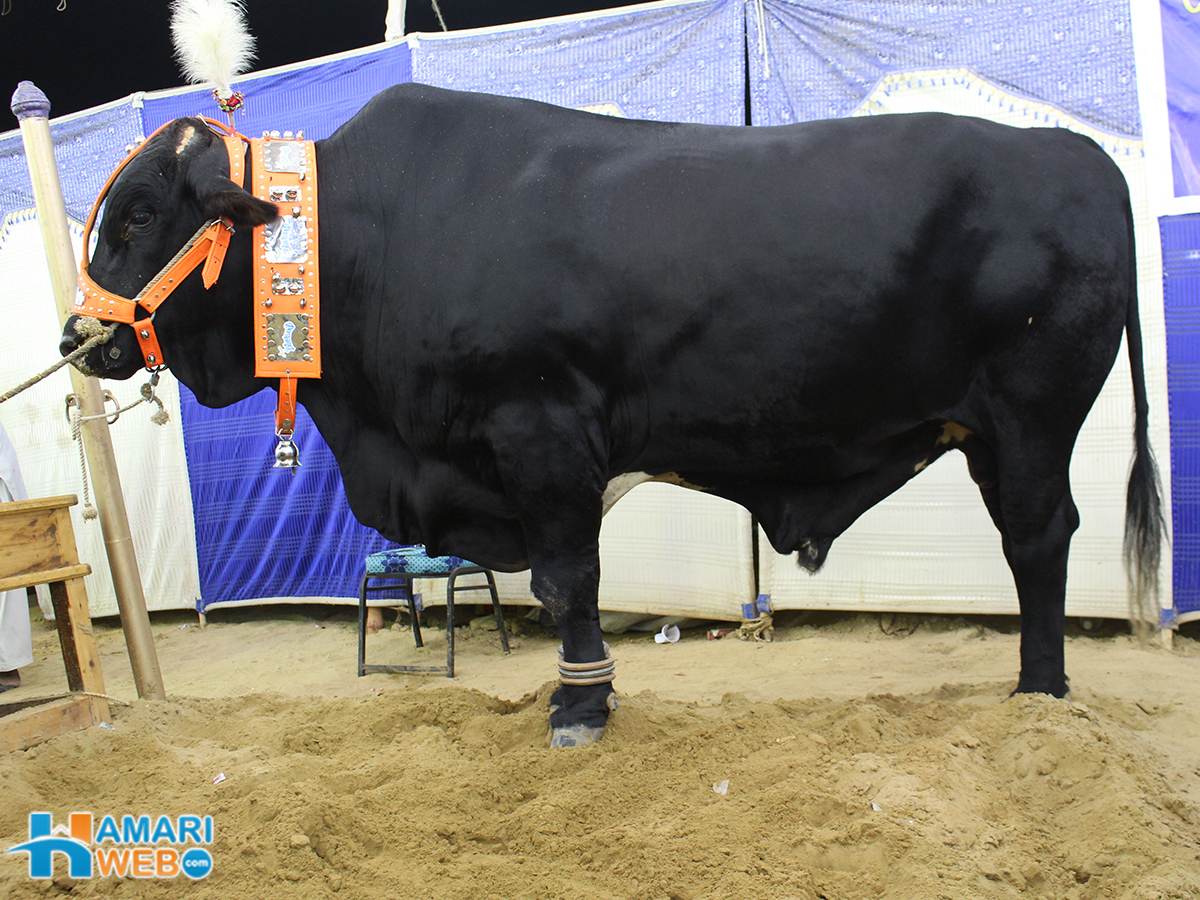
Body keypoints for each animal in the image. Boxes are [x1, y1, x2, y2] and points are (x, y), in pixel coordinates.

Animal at [61, 82, 1164, 747]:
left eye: (142, 214)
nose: (80, 334)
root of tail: (1071, 151)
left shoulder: (540, 428)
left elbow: (566, 581)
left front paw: (580, 703)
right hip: (995, 430)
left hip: (1030, 416)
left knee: (1039, 539)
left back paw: (1041, 692)